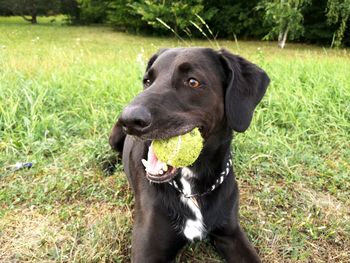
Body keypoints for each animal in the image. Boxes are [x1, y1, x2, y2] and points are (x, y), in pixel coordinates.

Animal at [110, 48, 270, 263]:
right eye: (147, 81)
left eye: (192, 82)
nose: (129, 120)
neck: (191, 189)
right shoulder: (147, 251)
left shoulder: (231, 234)